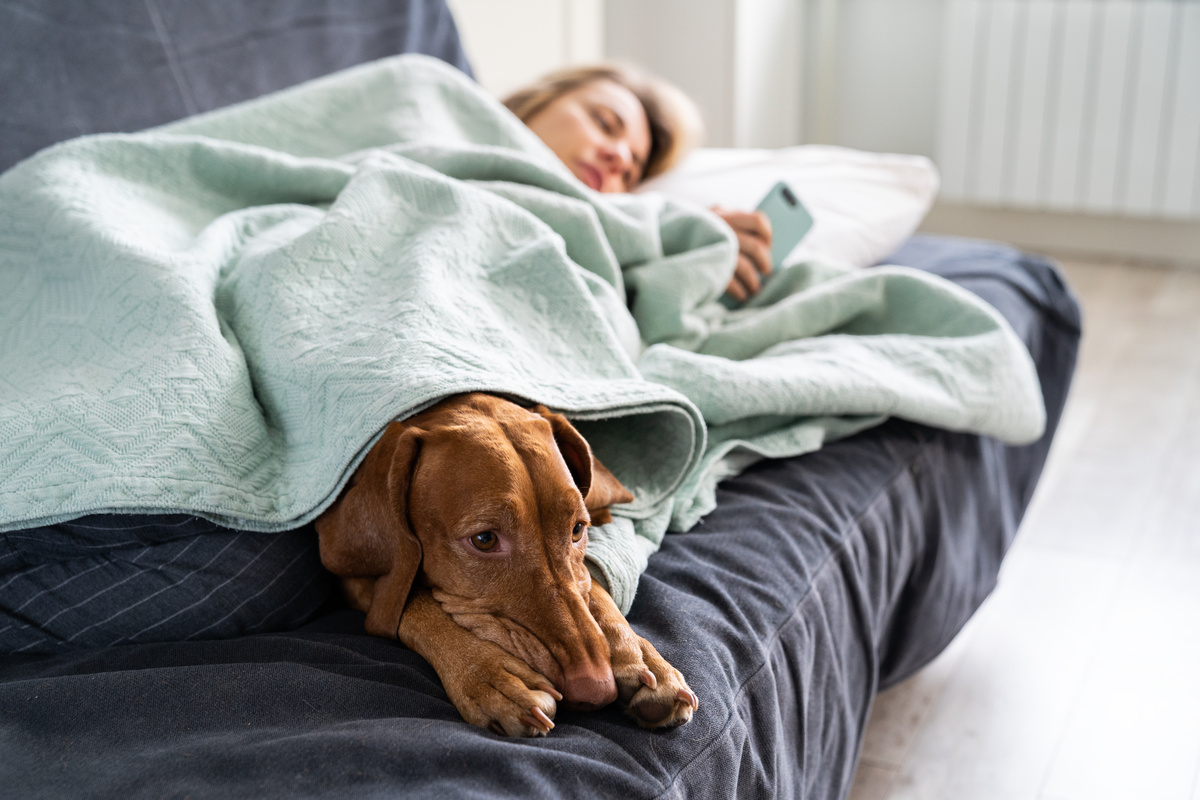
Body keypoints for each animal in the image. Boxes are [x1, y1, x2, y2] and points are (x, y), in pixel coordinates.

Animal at [314, 393, 700, 738]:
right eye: (485, 539)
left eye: (577, 529)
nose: (597, 689)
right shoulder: (354, 578)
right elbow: (413, 602)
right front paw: (492, 676)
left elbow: (591, 586)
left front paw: (638, 655)